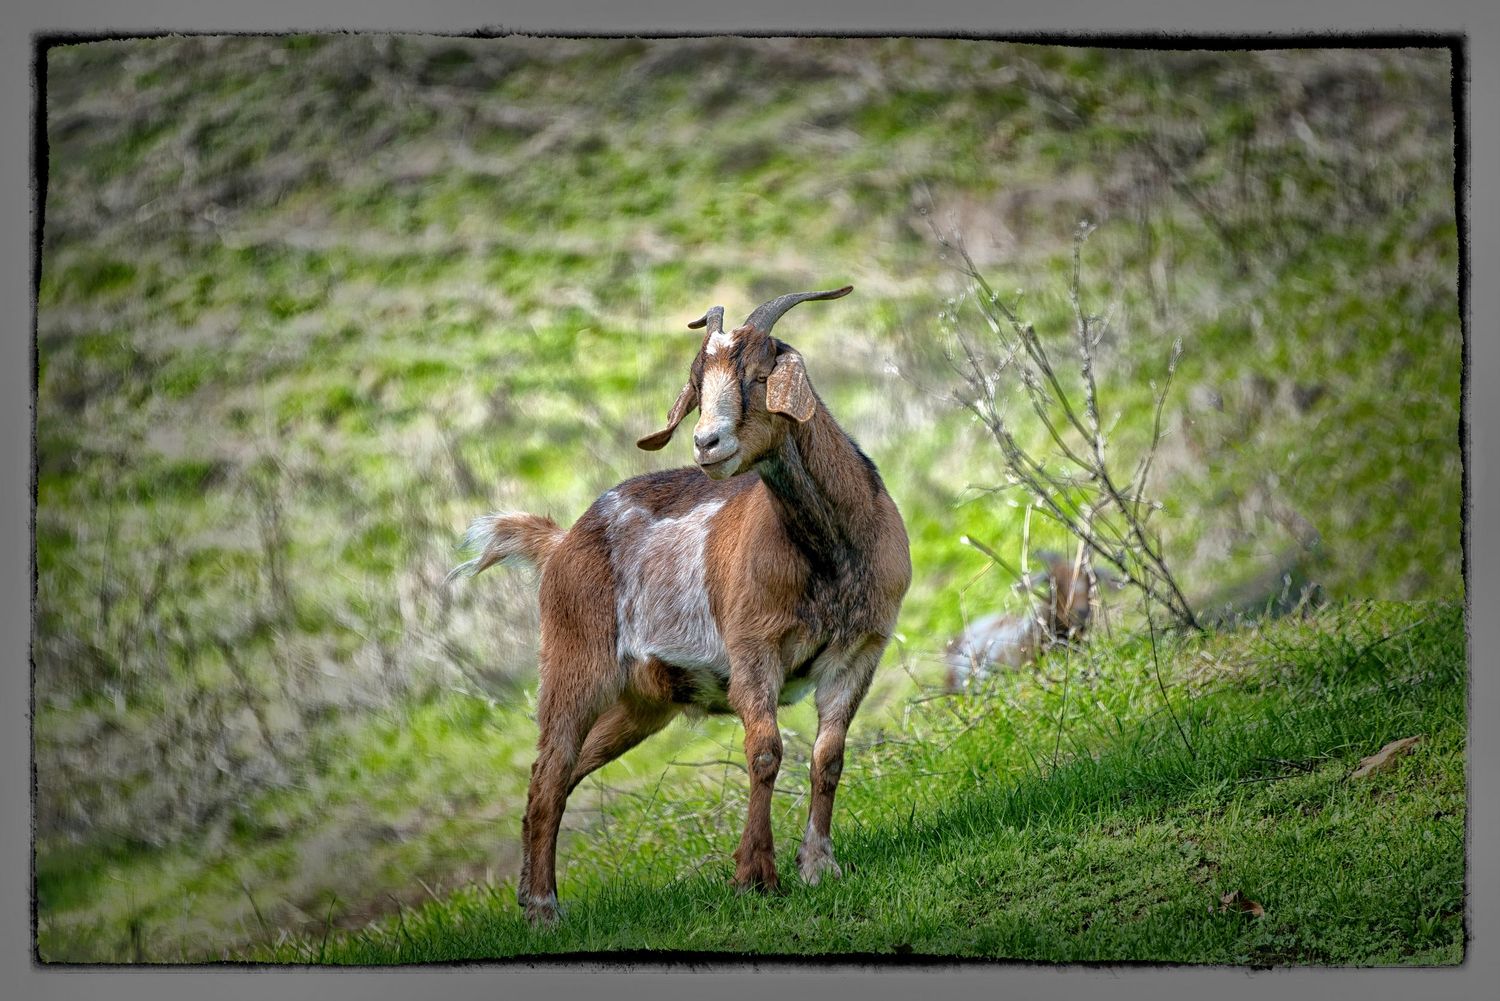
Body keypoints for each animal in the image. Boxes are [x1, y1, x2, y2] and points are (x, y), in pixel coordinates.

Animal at [450, 286, 911, 925]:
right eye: (697, 383)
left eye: (758, 375)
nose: (706, 444)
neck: (830, 555)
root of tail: (561, 542)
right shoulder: (752, 650)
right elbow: (765, 752)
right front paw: (754, 876)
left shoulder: (859, 651)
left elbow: (829, 757)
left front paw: (819, 867)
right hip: (575, 662)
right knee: (548, 772)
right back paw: (544, 909)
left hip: (642, 704)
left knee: (562, 775)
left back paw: (528, 896)